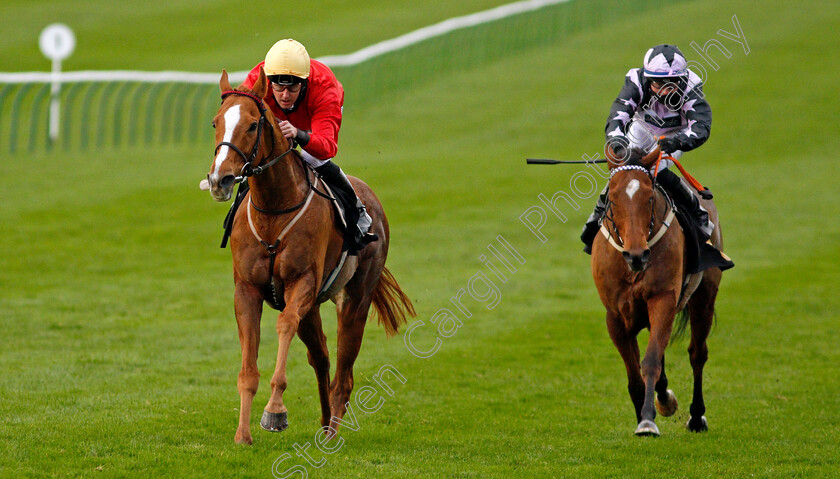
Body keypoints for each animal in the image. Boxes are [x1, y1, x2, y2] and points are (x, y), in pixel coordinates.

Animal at [203, 67, 414, 446]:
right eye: (216, 122)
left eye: (253, 125)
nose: (220, 179)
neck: (274, 211)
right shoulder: (247, 290)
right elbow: (248, 368)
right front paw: (242, 434)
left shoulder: (301, 283)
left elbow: (284, 325)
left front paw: (275, 411)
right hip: (313, 308)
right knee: (322, 358)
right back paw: (325, 421)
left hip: (354, 299)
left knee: (343, 373)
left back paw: (332, 434)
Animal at [588, 148, 724, 436]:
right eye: (612, 199)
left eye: (649, 197)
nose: (637, 255)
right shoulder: (615, 317)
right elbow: (634, 375)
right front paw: (644, 413)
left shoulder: (663, 299)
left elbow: (650, 361)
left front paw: (648, 420)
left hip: (704, 295)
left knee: (697, 353)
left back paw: (696, 416)